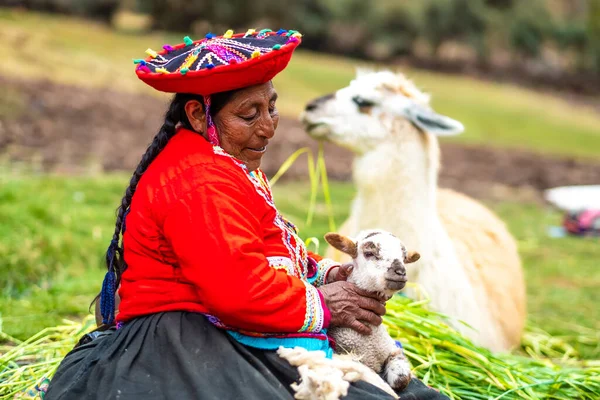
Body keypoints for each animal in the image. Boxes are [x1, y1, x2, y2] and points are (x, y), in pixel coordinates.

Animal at [278, 230, 420, 398]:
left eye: (404, 257)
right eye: (369, 253)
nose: (400, 272)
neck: (370, 342)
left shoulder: (392, 349)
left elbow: (401, 380)